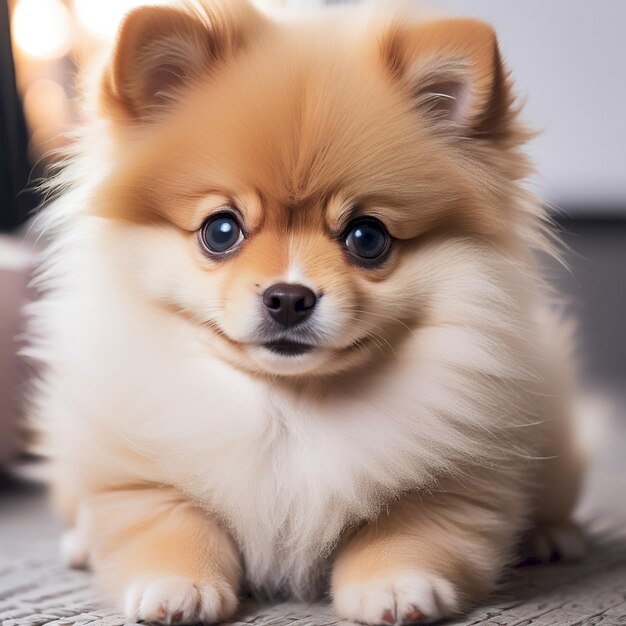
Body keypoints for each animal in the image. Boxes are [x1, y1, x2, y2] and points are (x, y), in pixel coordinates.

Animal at [28, 0, 580, 620]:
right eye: (221, 230)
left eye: (367, 237)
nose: (289, 297)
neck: (288, 411)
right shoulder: (132, 474)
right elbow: (170, 523)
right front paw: (177, 587)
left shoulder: (457, 479)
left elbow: (408, 530)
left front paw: (397, 586)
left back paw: (552, 537)